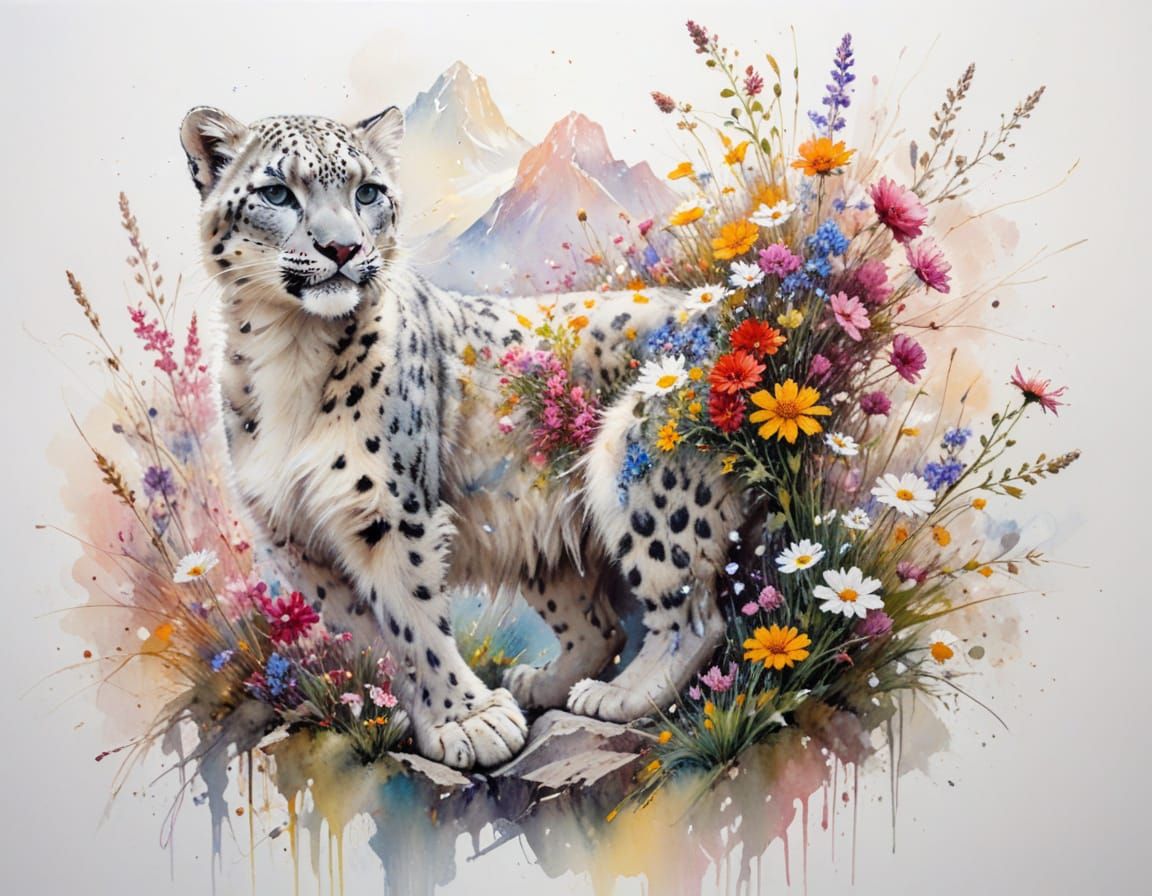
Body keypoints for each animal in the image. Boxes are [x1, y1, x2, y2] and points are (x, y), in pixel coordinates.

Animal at [180, 104, 741, 770]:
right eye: (276, 193)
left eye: (367, 192)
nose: (342, 247)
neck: (290, 348)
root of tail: (729, 306)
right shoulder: (296, 535)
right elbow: (378, 629)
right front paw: (417, 714)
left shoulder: (389, 509)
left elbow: (416, 618)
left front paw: (468, 720)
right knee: (598, 624)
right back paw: (544, 684)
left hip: (641, 459)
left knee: (689, 606)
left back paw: (619, 695)